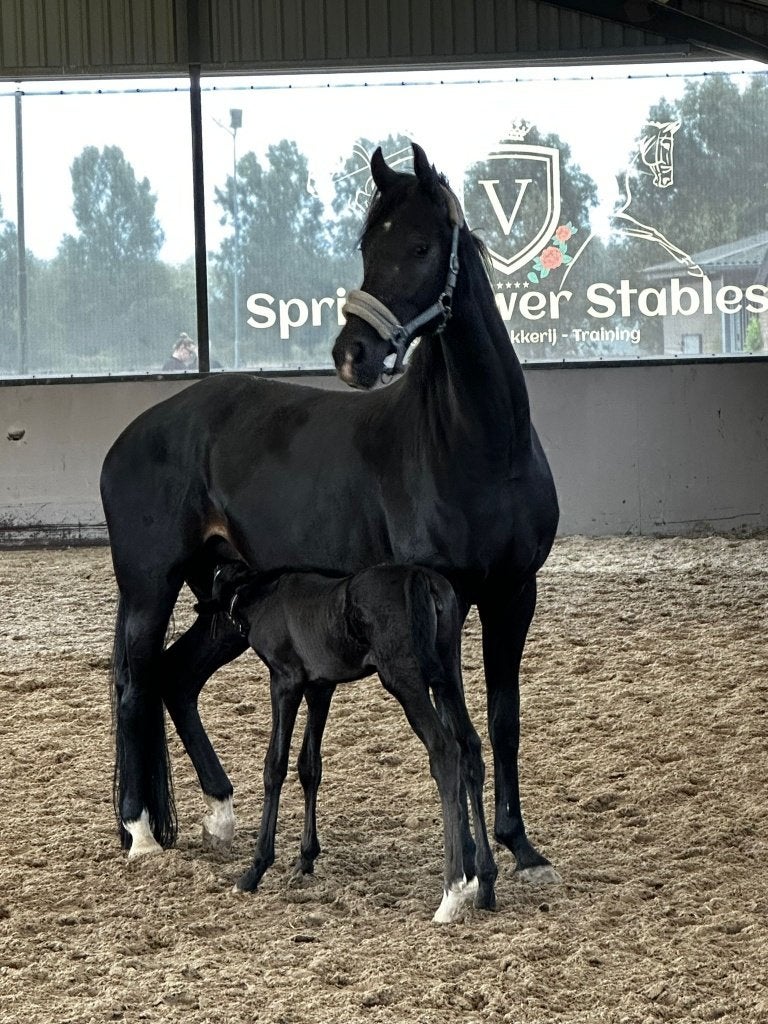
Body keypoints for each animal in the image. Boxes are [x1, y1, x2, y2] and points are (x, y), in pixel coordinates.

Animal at [194, 543, 497, 922]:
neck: (261, 593)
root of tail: (421, 577)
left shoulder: (285, 681)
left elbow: (274, 766)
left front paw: (255, 869)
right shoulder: (320, 686)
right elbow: (310, 766)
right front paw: (305, 858)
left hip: (406, 678)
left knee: (444, 749)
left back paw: (452, 892)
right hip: (447, 676)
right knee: (469, 747)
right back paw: (485, 883)